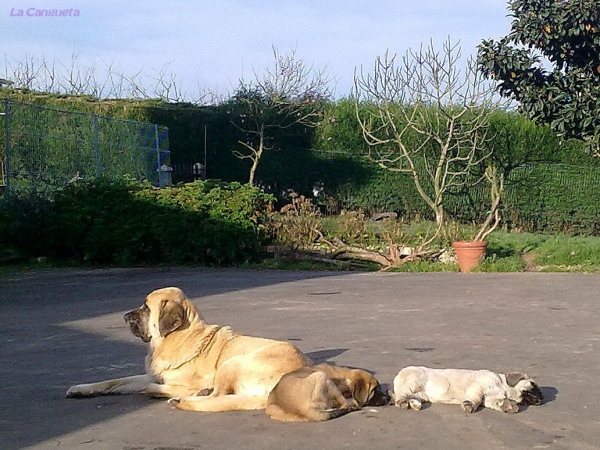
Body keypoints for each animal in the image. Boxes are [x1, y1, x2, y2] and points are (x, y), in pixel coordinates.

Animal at [65, 288, 312, 412]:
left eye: (146, 307)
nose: (125, 316)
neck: (175, 338)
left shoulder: (165, 381)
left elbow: (149, 387)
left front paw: (184, 392)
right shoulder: (146, 375)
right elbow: (112, 381)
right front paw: (81, 389)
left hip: (232, 362)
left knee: (217, 396)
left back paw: (186, 398)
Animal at [392, 368, 540, 414]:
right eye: (533, 384)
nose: (542, 397)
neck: (504, 387)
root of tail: (398, 375)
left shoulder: (490, 399)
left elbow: (497, 402)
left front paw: (507, 406)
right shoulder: (479, 387)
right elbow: (476, 398)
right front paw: (470, 405)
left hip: (421, 394)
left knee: (412, 397)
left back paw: (415, 404)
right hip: (414, 382)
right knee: (400, 395)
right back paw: (402, 402)